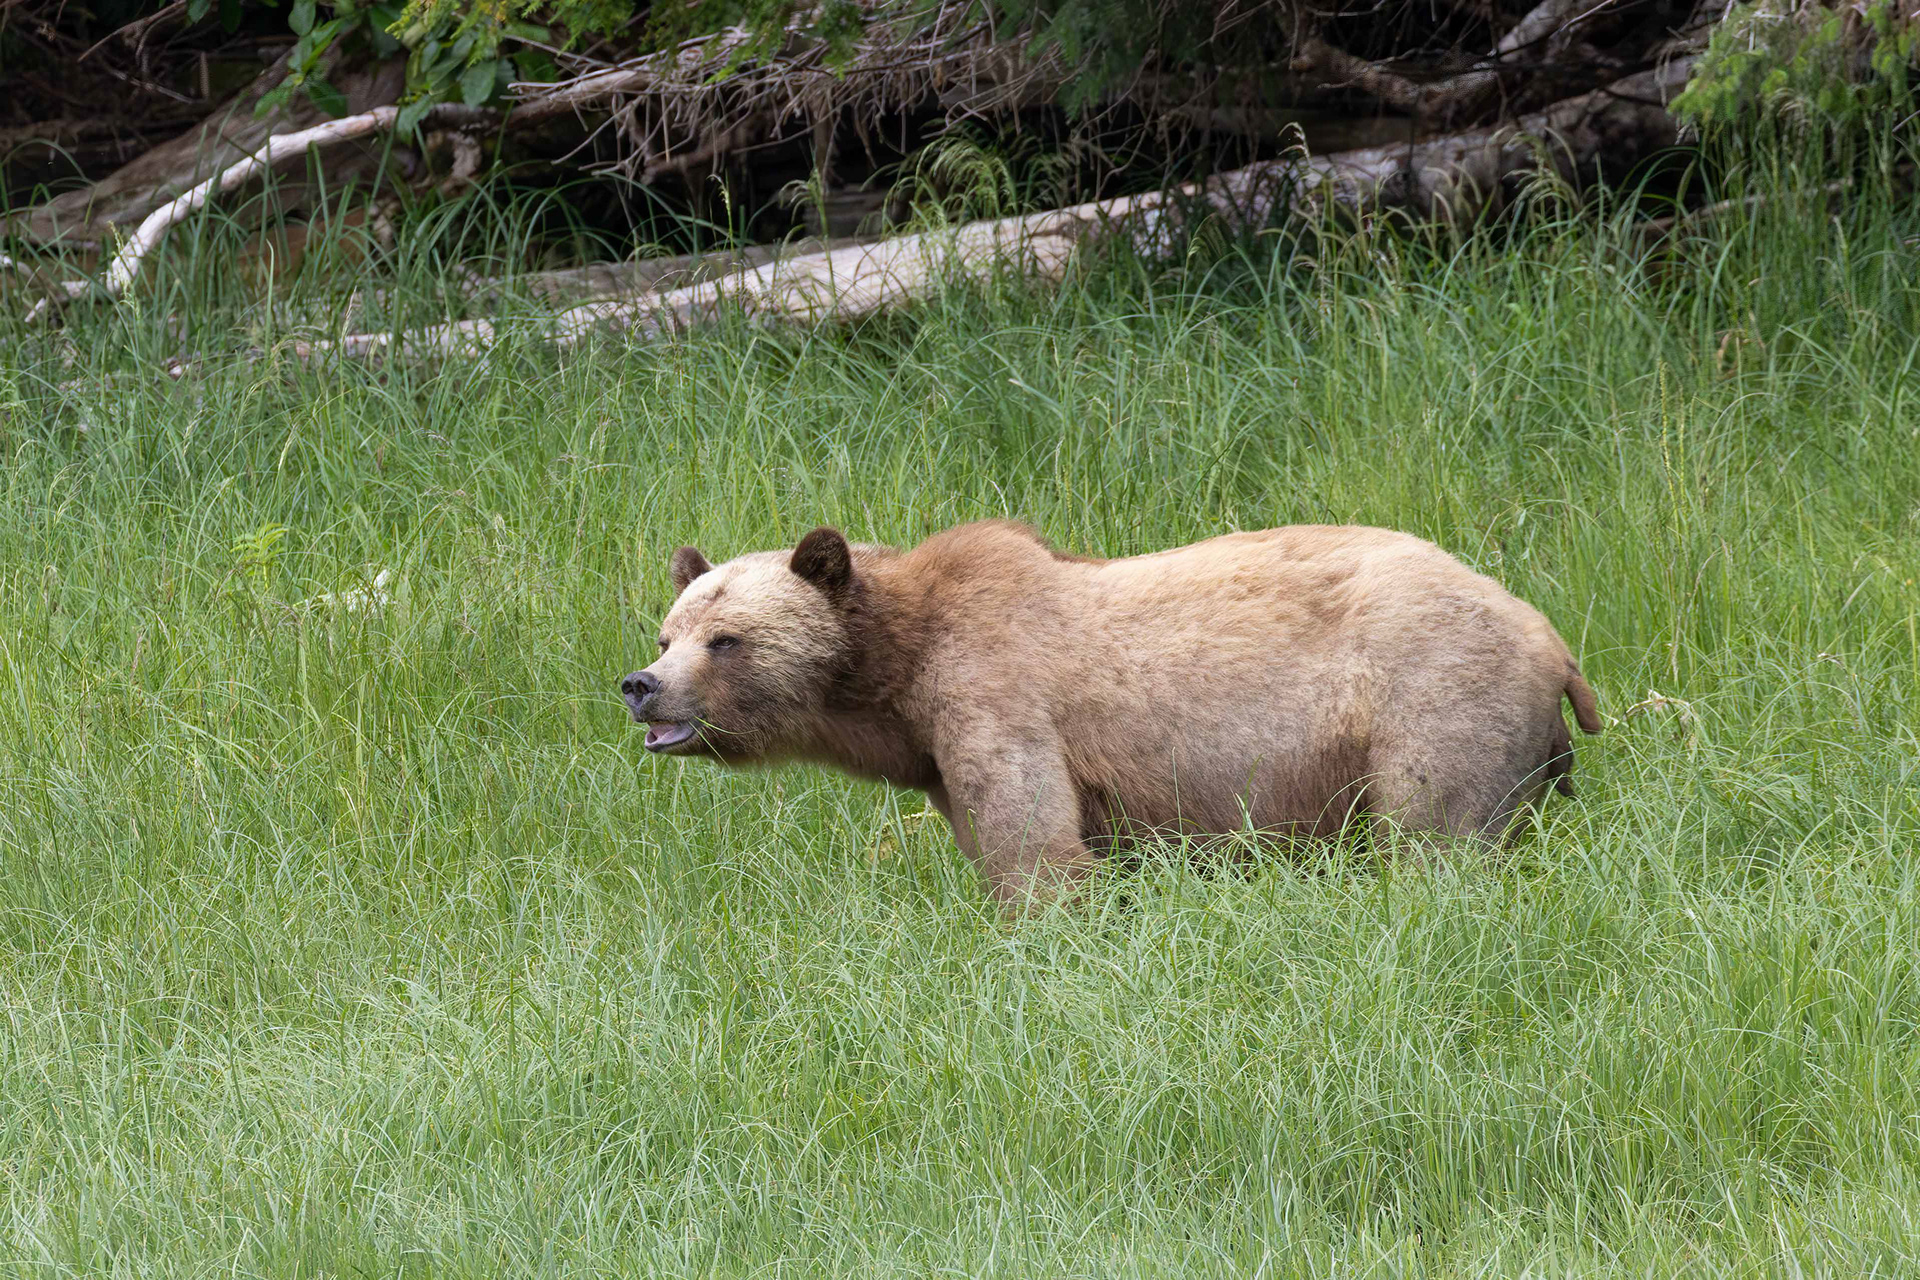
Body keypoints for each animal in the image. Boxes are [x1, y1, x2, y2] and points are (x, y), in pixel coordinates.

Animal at [621, 520, 1602, 908]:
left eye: (725, 639)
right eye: (668, 632)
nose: (640, 684)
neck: (896, 686)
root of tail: (1548, 634)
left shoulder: (997, 694)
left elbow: (1033, 850)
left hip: (1431, 698)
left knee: (1435, 835)